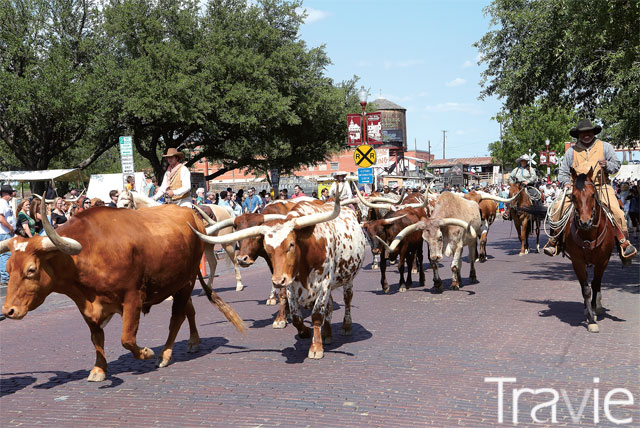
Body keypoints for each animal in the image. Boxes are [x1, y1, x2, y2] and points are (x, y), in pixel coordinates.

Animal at [564, 169, 616, 332]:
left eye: (593, 194)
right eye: (573, 196)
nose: (584, 222)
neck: (588, 234)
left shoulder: (603, 261)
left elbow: (595, 284)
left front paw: (593, 313)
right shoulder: (577, 262)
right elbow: (586, 289)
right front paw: (590, 318)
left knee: (597, 284)